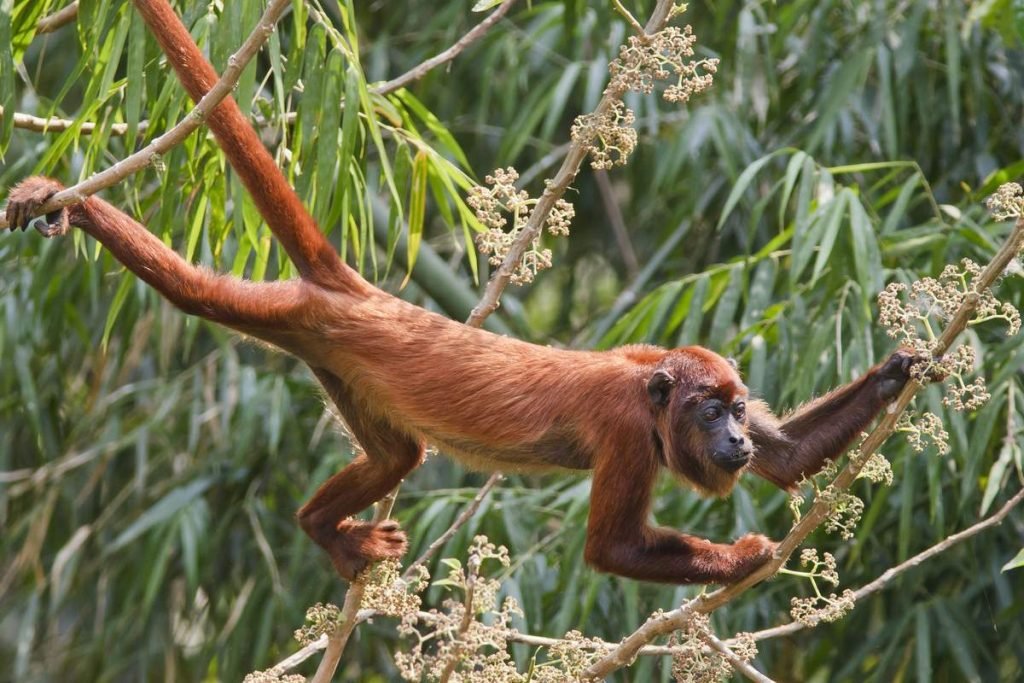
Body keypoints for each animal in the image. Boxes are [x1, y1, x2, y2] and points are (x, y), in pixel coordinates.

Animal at [0, 1, 913, 589]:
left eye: (739, 406)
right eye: (710, 410)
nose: (734, 437)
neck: (653, 395)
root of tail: (370, 297)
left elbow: (787, 460)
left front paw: (902, 368)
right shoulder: (625, 432)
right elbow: (611, 551)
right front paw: (745, 555)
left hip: (337, 361)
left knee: (395, 457)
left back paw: (321, 530)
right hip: (289, 314)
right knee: (194, 293)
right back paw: (81, 211)